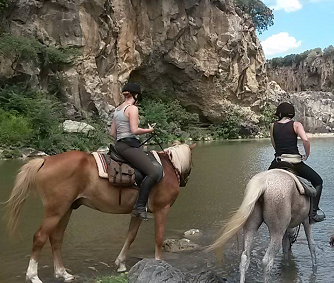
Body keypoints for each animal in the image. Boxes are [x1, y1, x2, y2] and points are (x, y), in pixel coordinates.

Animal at [5, 144, 196, 283]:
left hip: (66, 210)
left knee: (56, 239)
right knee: (40, 237)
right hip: (55, 211)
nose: (185, 181)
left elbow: (130, 235)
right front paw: (158, 262)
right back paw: (33, 276)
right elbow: (158, 236)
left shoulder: (138, 211)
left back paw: (63, 273)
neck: (168, 167)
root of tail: (45, 161)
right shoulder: (163, 209)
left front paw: (121, 264)